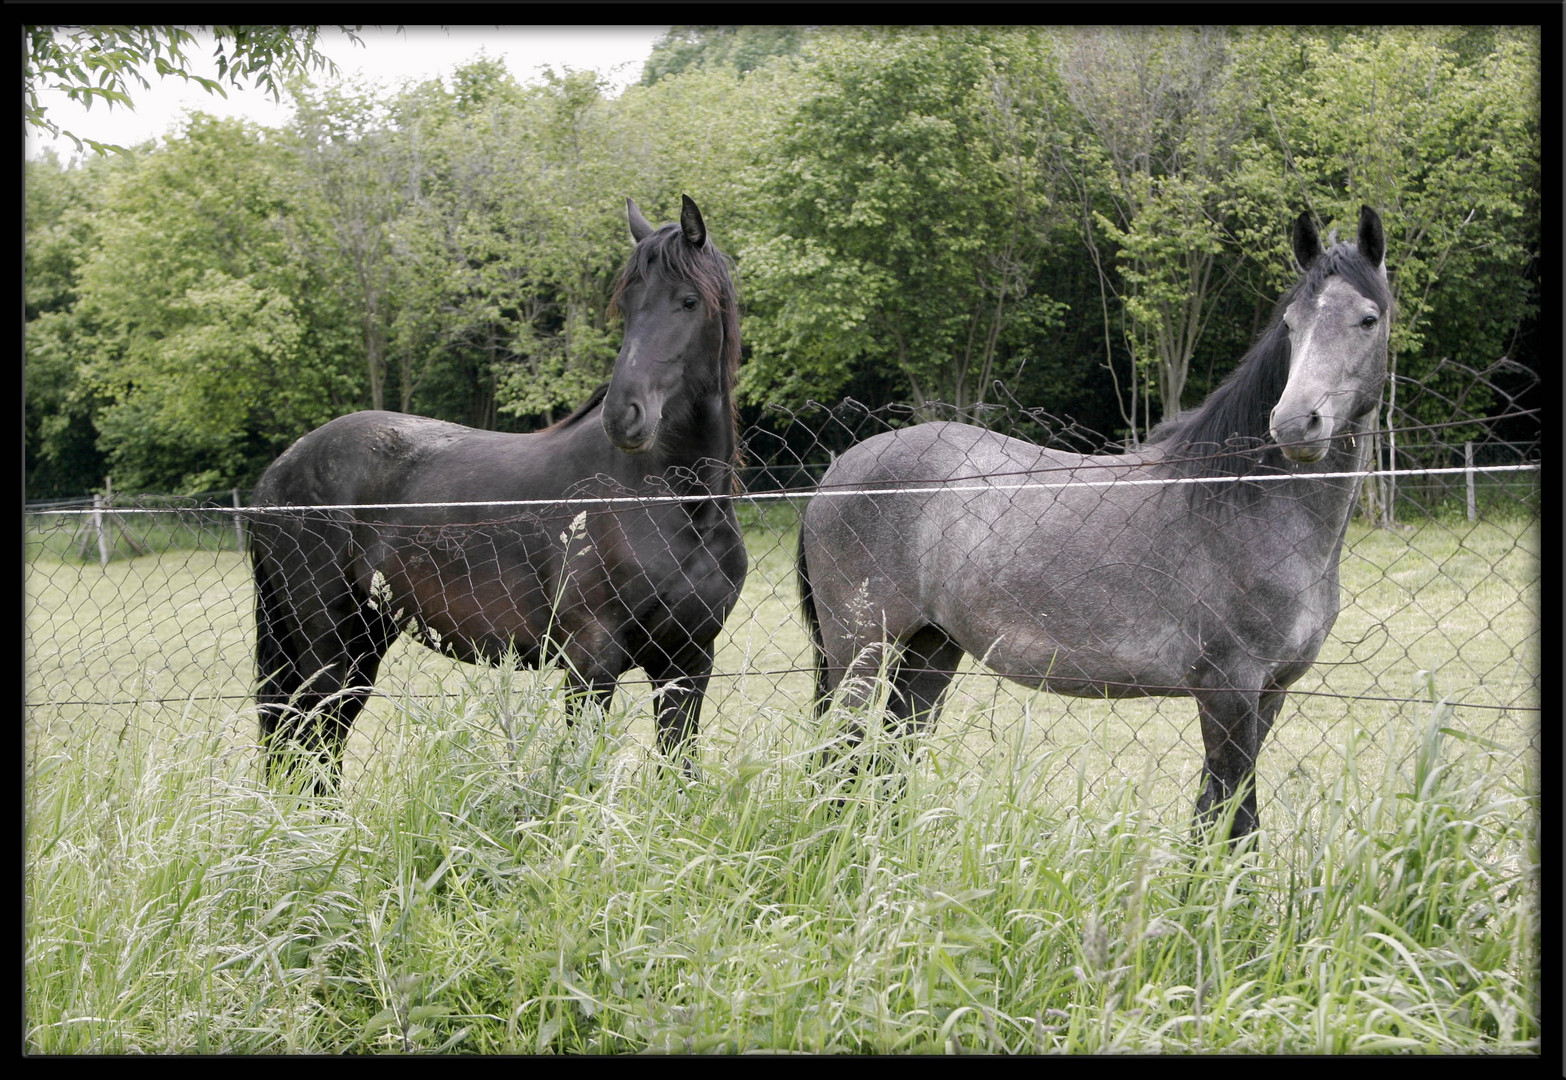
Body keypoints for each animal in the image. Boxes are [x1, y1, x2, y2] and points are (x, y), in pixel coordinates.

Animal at [248, 195, 745, 782]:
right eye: (626, 307)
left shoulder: (687, 661)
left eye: (688, 301)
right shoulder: (592, 659)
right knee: (305, 748)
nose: (624, 416)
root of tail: (280, 471)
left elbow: (681, 773)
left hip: (362, 642)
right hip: (326, 645)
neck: (675, 503)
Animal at [801, 206, 1390, 838]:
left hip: (930, 650)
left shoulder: (1269, 692)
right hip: (860, 653)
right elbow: (1233, 819)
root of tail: (837, 471)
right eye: (1291, 322)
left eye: (1368, 319)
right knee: (838, 760)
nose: (1295, 424)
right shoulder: (1229, 690)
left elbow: (1217, 816)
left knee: (890, 760)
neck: (1242, 500)